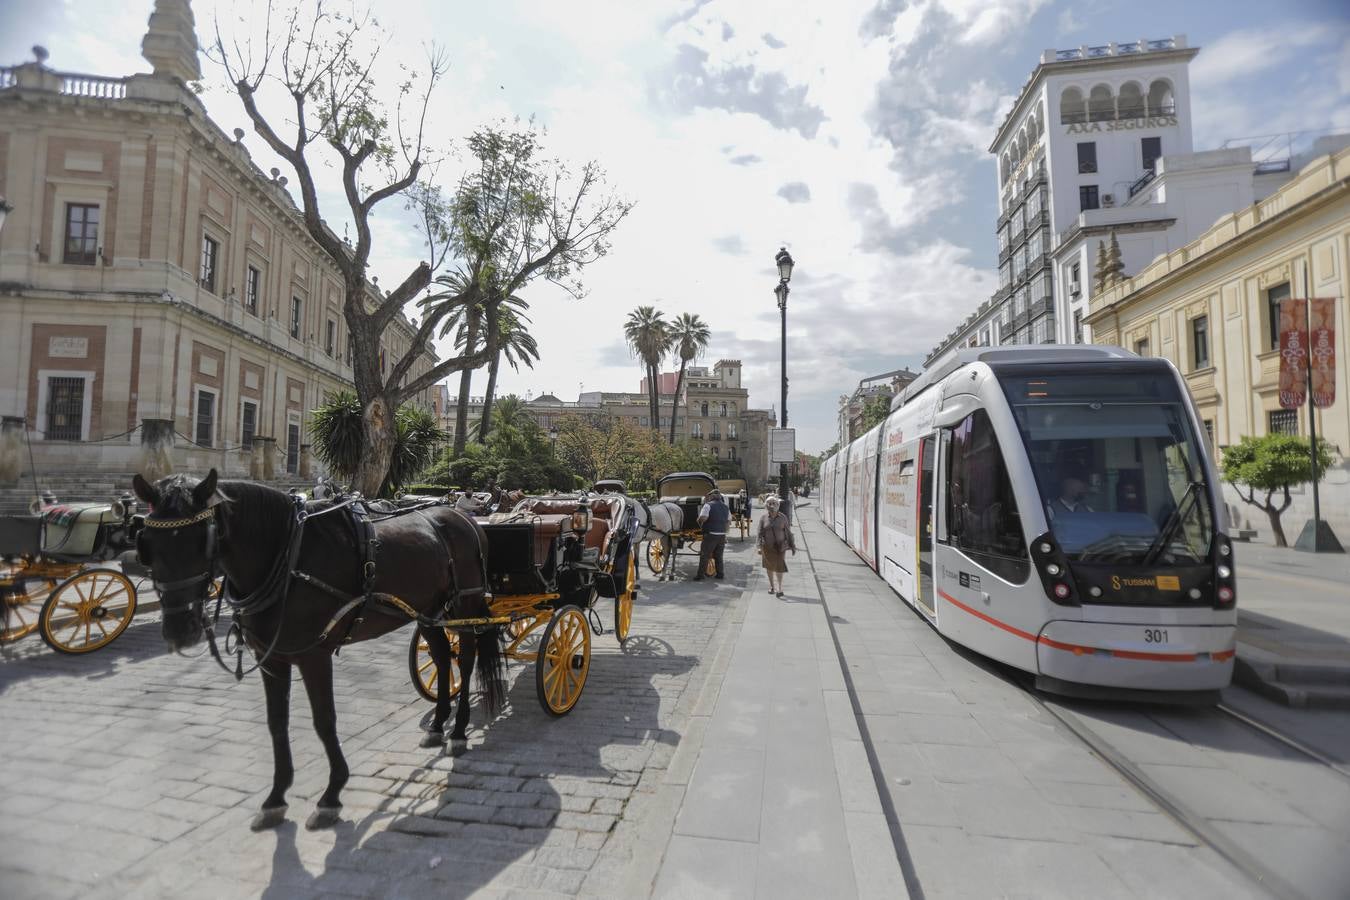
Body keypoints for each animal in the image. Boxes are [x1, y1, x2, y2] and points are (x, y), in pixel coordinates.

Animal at [131, 472, 504, 831]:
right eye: (146, 544)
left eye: (203, 540)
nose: (179, 631)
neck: (286, 556)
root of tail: (461, 517)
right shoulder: (271, 658)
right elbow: (276, 723)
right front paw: (275, 798)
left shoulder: (314, 655)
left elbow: (324, 720)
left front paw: (331, 795)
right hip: (427, 609)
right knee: (441, 658)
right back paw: (438, 725)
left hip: (464, 602)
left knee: (465, 659)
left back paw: (459, 731)